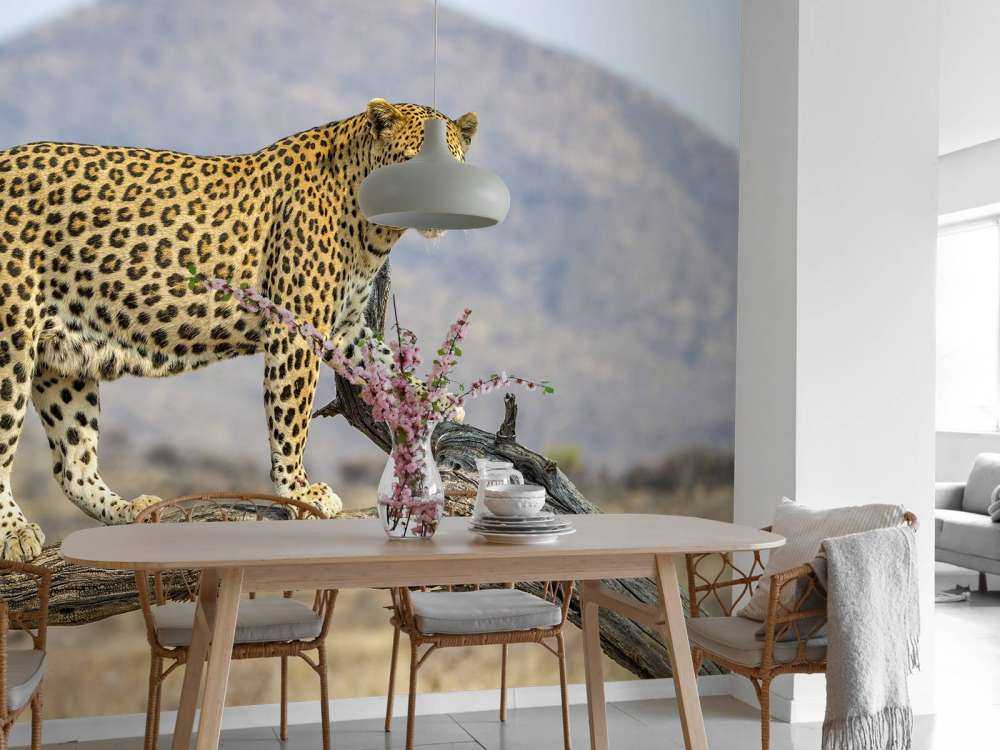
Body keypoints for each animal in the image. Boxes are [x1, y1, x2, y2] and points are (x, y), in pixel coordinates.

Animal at [0, 99, 478, 560]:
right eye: (415, 161)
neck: (373, 227)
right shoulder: (296, 326)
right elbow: (291, 418)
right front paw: (298, 490)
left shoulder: (345, 329)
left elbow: (388, 362)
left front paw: (435, 399)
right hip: (11, 342)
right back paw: (16, 535)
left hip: (64, 360)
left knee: (72, 465)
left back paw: (127, 510)